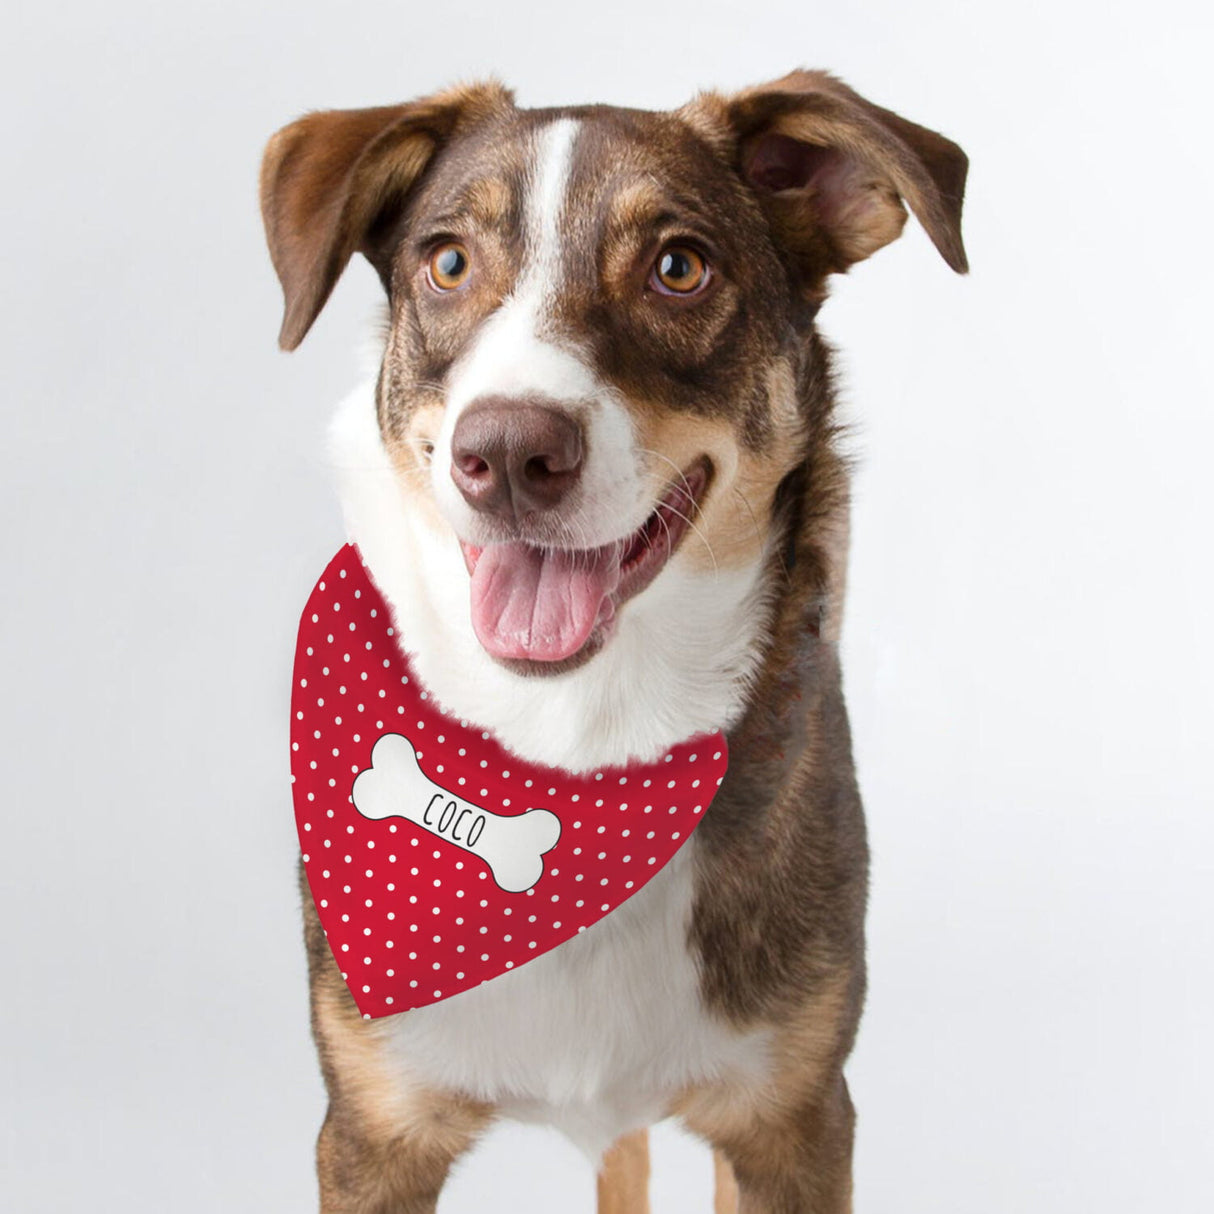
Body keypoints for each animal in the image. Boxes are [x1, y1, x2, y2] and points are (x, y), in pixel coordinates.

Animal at [258, 68, 966, 1214]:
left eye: (679, 267)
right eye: (447, 261)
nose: (506, 451)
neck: (569, 749)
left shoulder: (793, 1121)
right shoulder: (371, 1129)